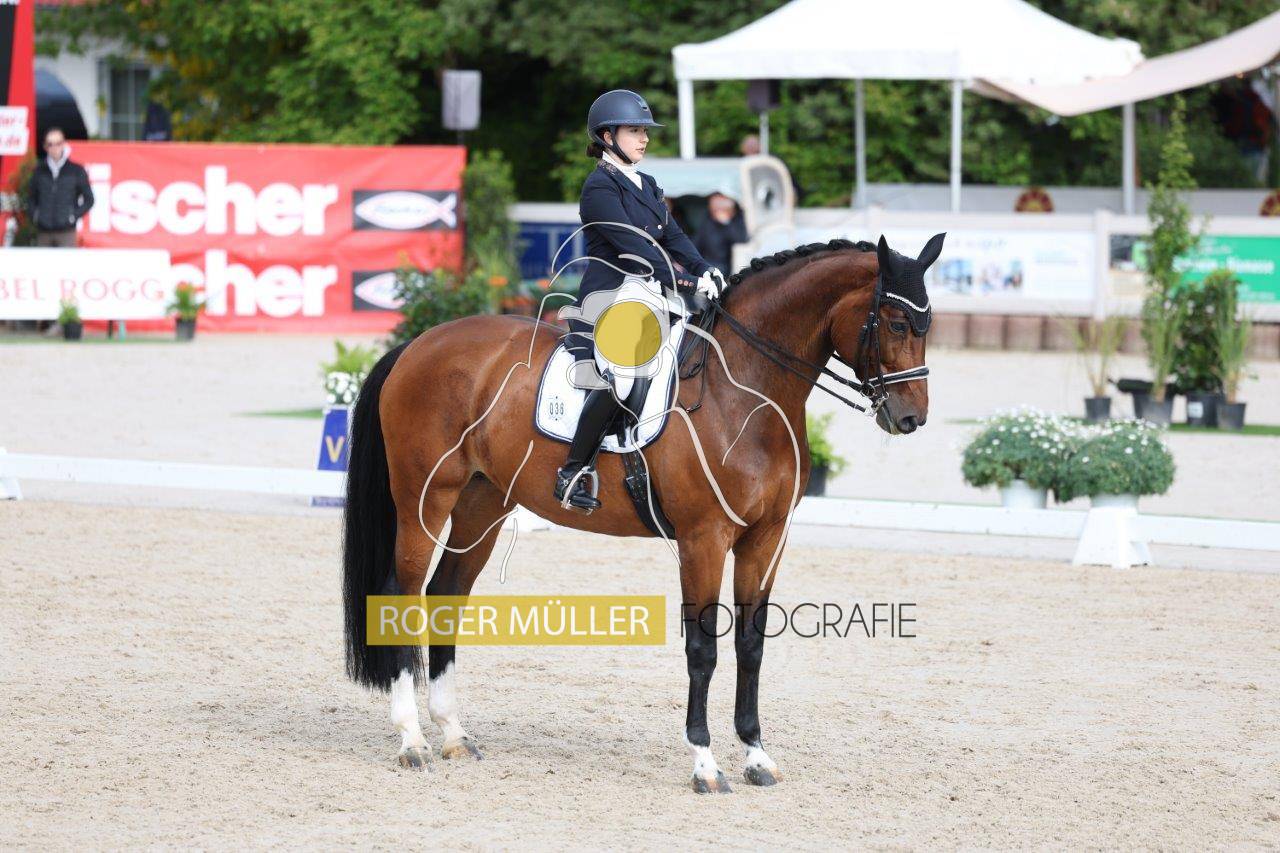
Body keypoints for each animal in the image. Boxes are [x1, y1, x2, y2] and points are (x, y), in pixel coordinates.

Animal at [342, 232, 943, 793]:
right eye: (895, 322)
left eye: (926, 324)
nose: (911, 418)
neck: (747, 392)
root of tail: (420, 343)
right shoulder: (704, 538)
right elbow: (703, 649)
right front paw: (705, 765)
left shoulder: (766, 537)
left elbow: (750, 645)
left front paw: (756, 756)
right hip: (425, 499)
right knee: (402, 597)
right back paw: (412, 740)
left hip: (482, 504)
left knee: (446, 594)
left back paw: (452, 735)